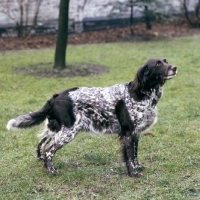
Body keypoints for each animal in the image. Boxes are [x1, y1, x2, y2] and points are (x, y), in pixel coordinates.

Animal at [7, 58, 177, 177]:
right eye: (158, 64)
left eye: (166, 61)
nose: (175, 67)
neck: (142, 93)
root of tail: (55, 97)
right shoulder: (128, 133)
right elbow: (129, 157)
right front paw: (133, 173)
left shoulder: (136, 134)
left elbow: (134, 155)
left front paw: (138, 167)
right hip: (68, 132)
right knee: (48, 150)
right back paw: (52, 171)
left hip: (55, 128)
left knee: (42, 144)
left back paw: (44, 164)